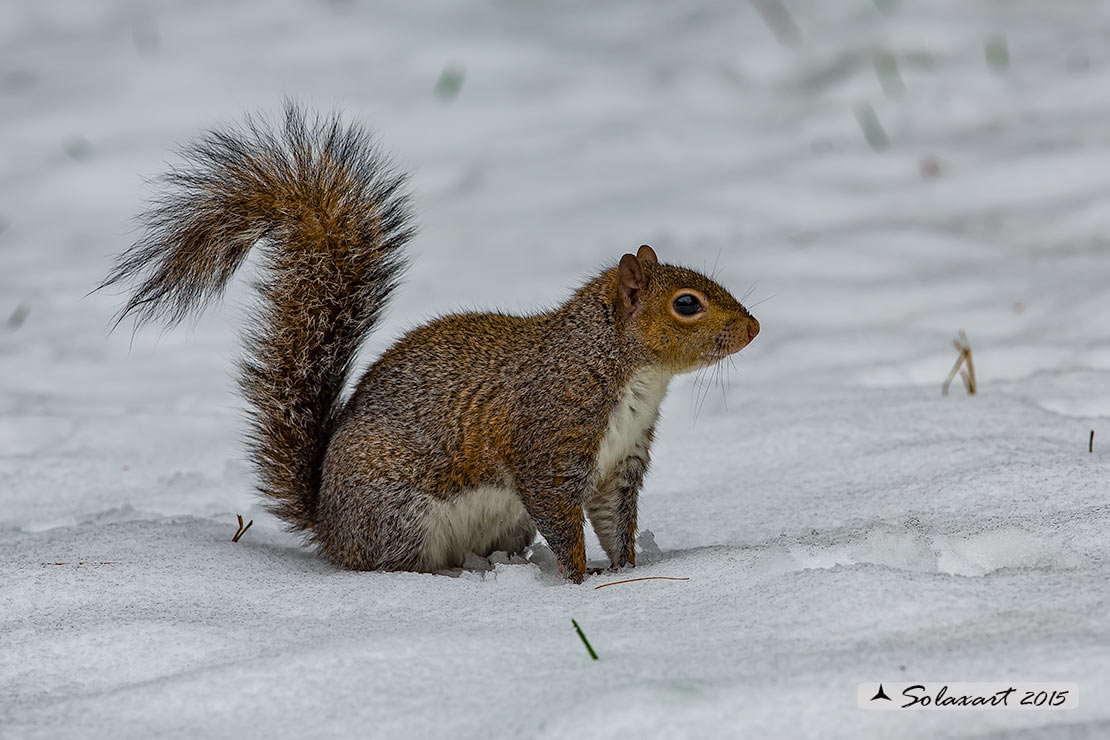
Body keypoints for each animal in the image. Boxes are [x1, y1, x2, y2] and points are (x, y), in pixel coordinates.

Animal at [102, 102, 754, 585]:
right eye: (686, 304)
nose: (754, 330)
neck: (623, 367)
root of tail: (328, 523)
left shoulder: (620, 463)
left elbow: (615, 520)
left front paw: (626, 570)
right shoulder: (551, 438)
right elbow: (560, 514)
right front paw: (579, 579)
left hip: (500, 524)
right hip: (400, 515)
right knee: (389, 564)